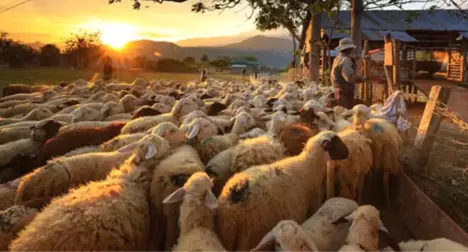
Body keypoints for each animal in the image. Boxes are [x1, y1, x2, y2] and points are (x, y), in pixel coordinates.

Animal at [218, 131, 350, 252]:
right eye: (337, 142)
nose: (348, 153)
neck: (311, 164)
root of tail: (235, 192)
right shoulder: (314, 202)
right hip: (251, 233)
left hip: (228, 232)